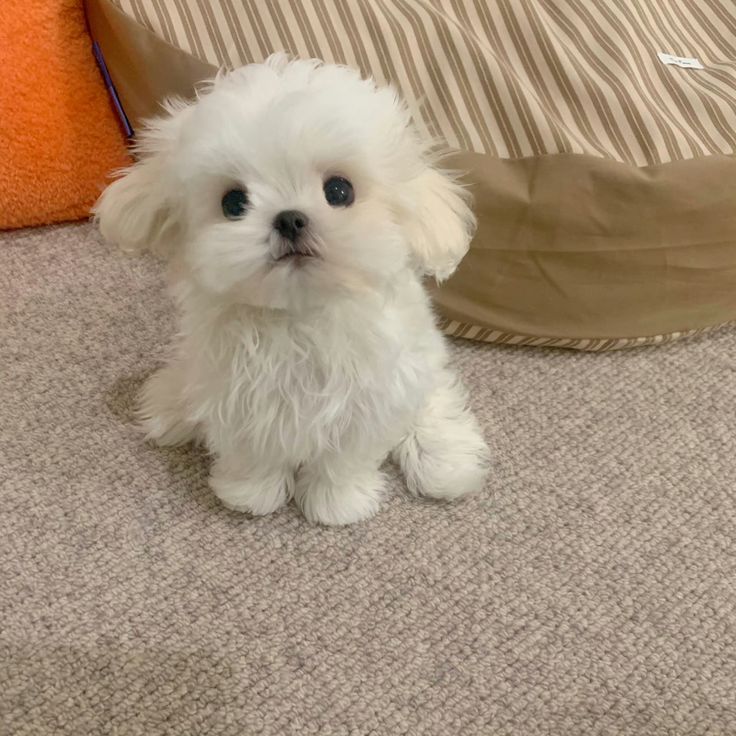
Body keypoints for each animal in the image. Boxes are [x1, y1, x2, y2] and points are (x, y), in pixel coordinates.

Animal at [96, 54, 488, 528]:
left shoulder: (365, 406)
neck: (297, 315)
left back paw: (443, 459)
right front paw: (251, 494)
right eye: (233, 203)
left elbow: (344, 459)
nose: (289, 218)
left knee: (429, 399)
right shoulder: (239, 399)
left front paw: (336, 504)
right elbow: (252, 452)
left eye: (339, 190)